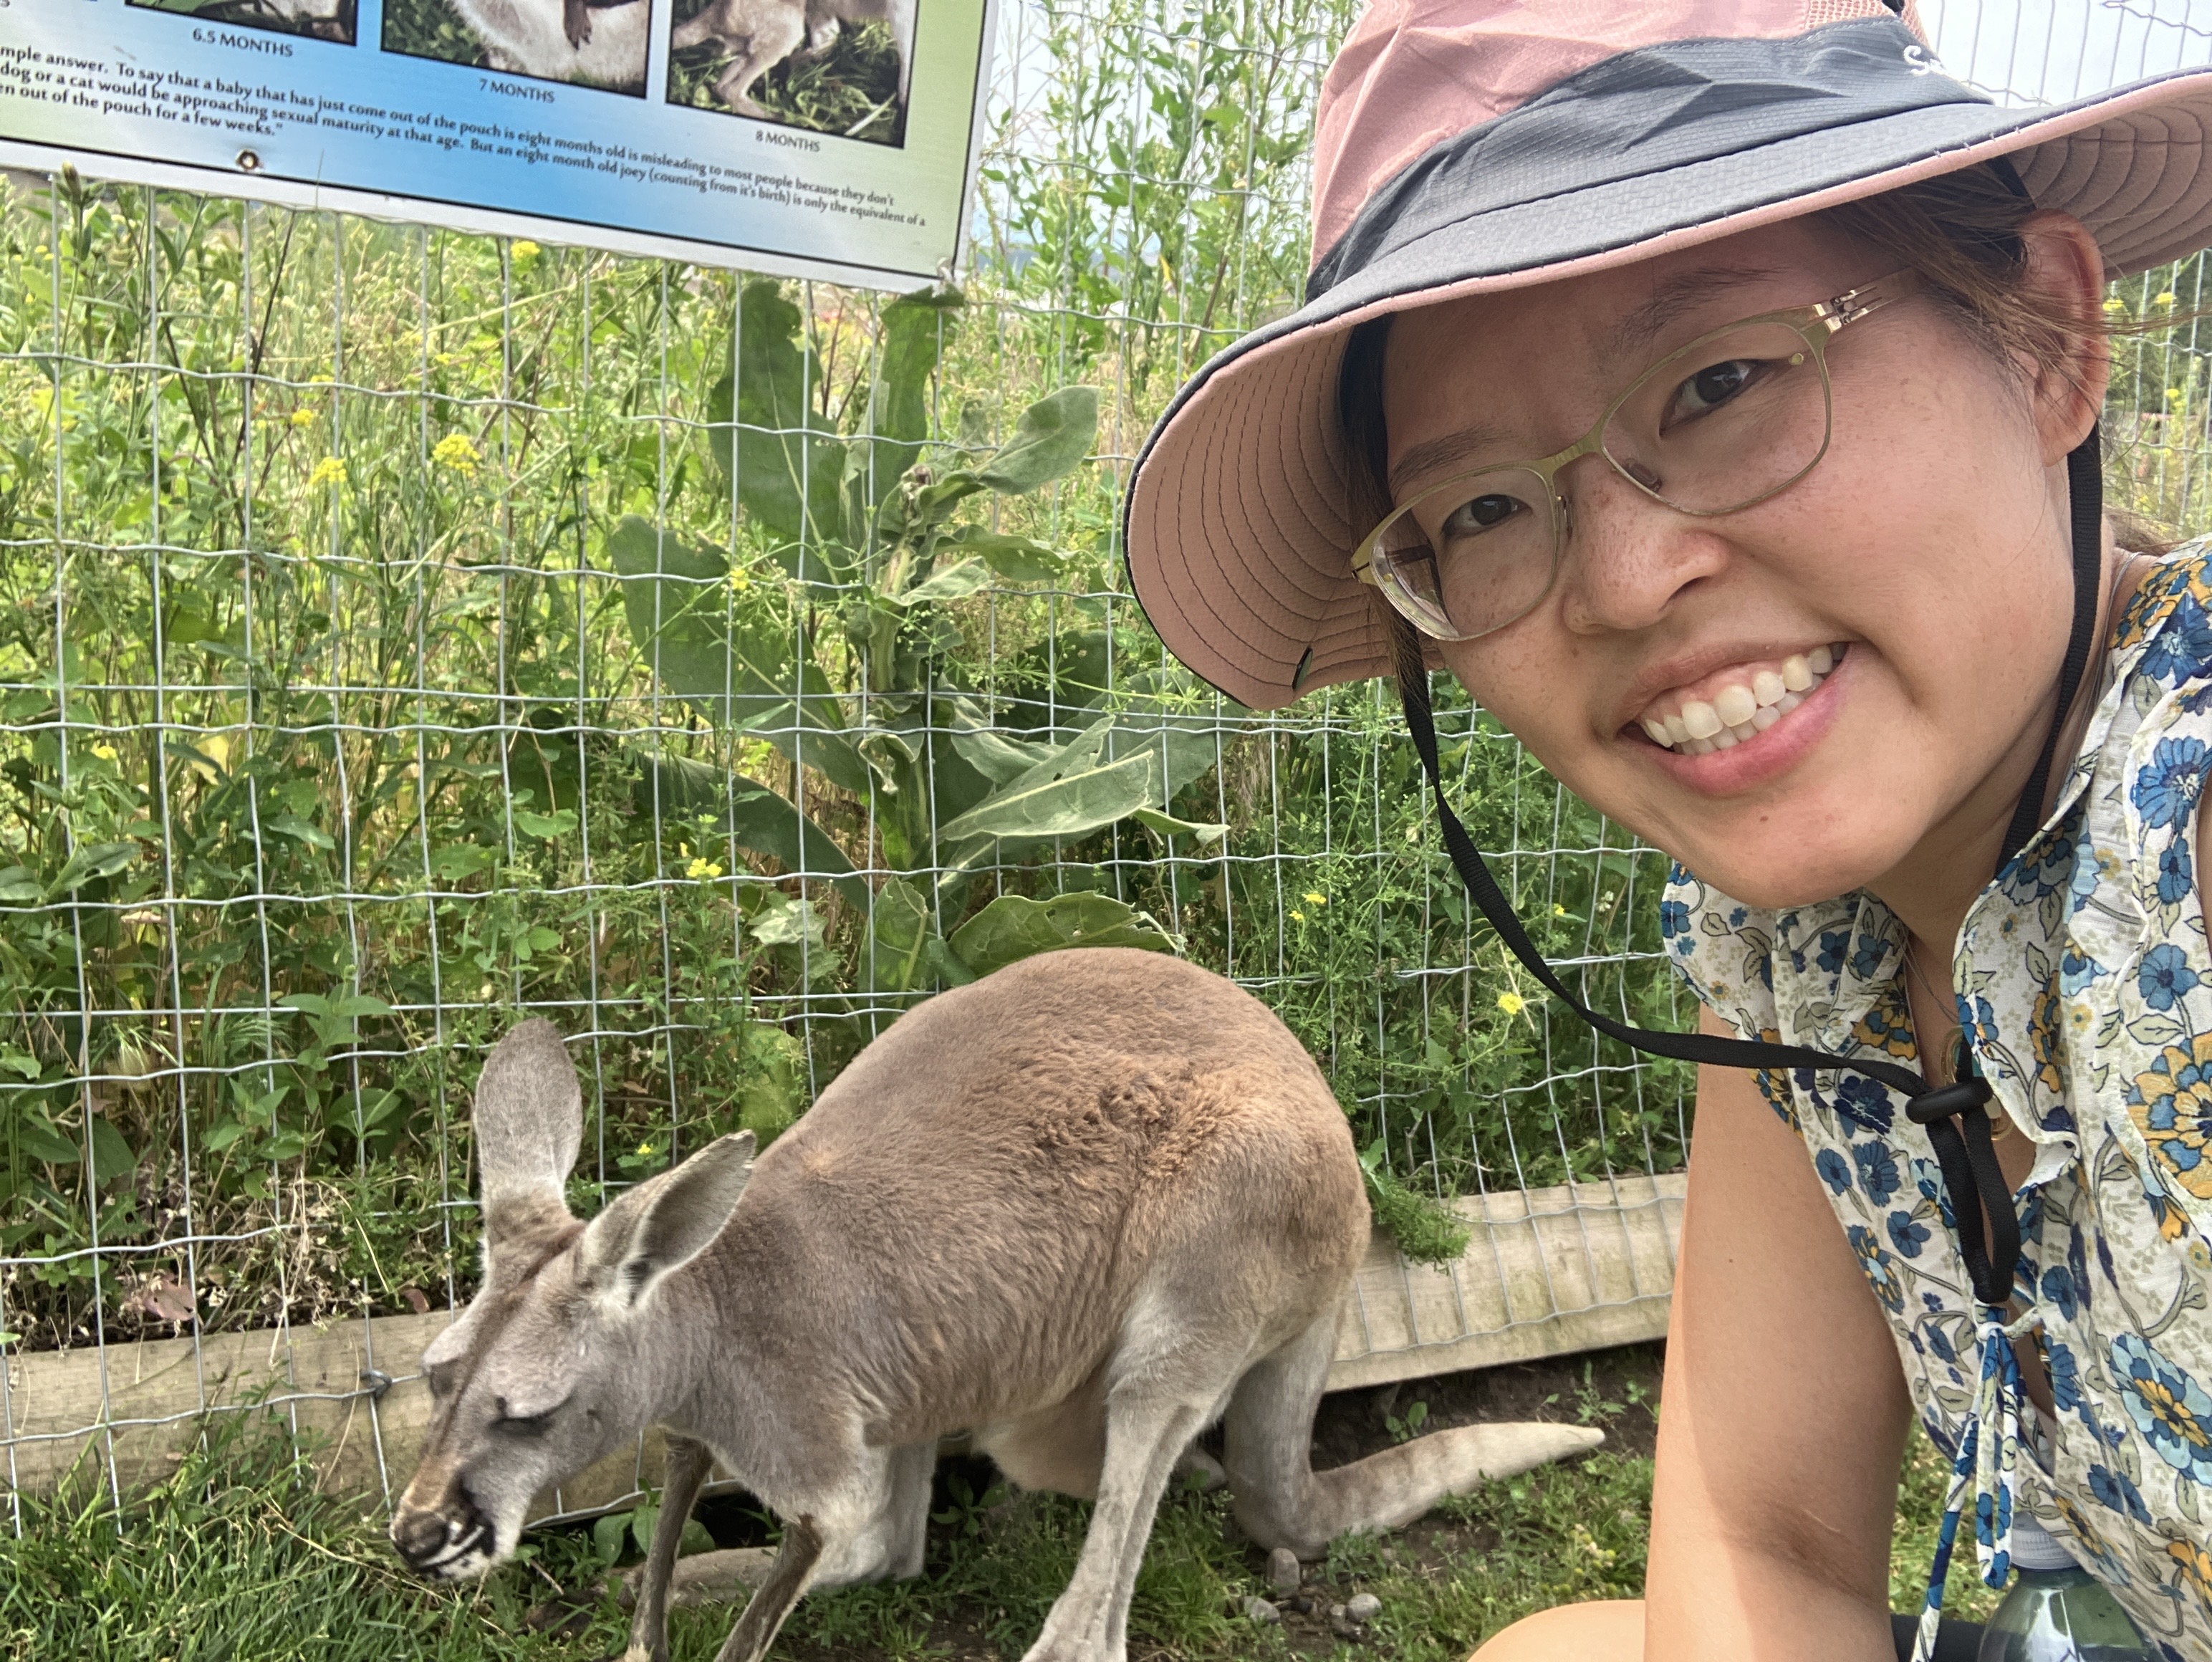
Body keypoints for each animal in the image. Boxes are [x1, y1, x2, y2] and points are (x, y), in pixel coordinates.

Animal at [388, 948, 1601, 1662]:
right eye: (436, 1379)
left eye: (531, 1413)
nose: (414, 1539)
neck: (705, 1312)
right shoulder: (702, 1429)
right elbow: (711, 1516)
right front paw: (653, 1607)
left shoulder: (807, 1439)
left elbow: (824, 1541)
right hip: (953, 1373)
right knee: (906, 1545)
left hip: (1220, 1239)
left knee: (1107, 1538)